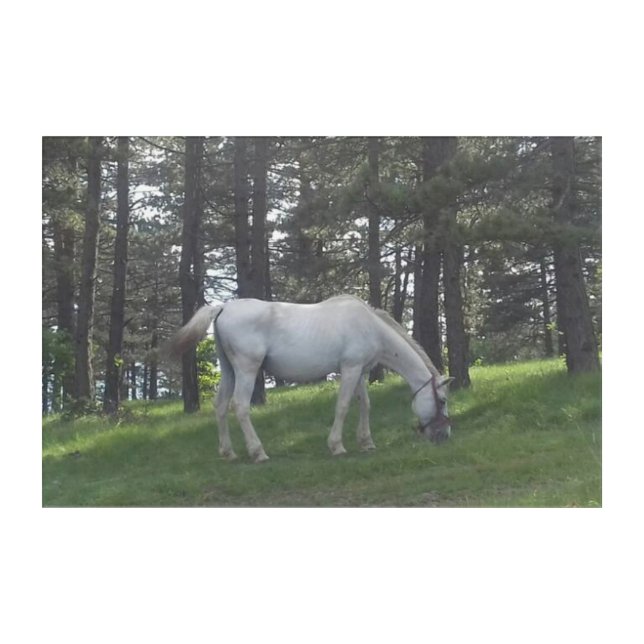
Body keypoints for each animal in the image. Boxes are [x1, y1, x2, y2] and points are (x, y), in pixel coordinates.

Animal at [169, 295, 454, 463]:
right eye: (442, 400)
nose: (445, 435)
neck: (370, 326)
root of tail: (223, 307)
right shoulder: (350, 369)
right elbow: (343, 406)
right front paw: (337, 446)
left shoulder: (359, 371)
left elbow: (365, 404)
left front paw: (366, 442)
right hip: (246, 370)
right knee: (239, 406)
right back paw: (258, 452)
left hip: (229, 371)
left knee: (219, 406)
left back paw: (228, 452)